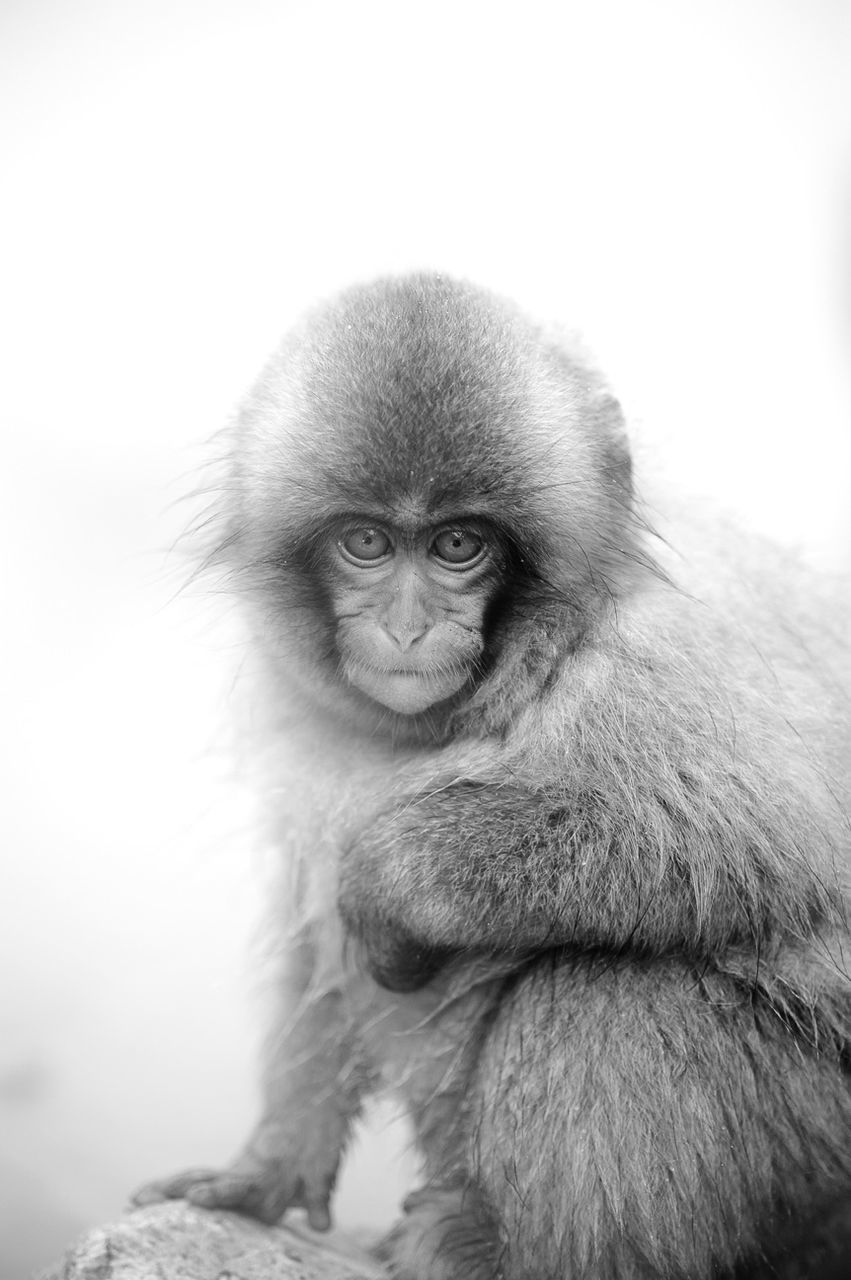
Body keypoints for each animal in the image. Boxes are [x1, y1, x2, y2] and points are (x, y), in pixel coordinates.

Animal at [133, 272, 849, 1280]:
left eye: (457, 546)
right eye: (366, 543)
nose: (405, 629)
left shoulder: (667, 656)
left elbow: (765, 843)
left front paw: (389, 878)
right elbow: (312, 924)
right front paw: (270, 1164)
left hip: (814, 1156)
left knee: (601, 996)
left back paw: (508, 1251)